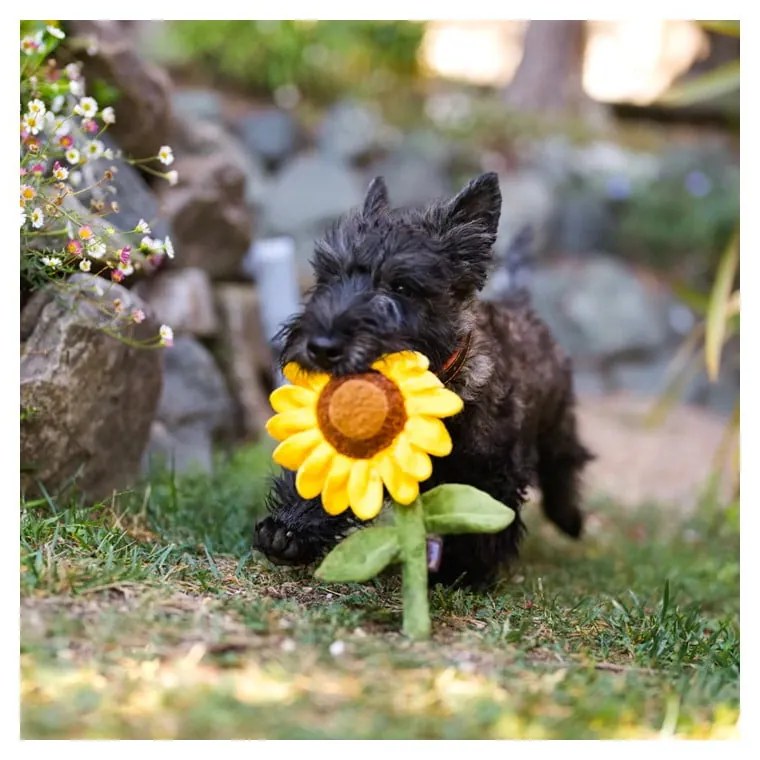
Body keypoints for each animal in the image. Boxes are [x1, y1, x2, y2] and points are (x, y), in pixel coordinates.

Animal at [255, 174, 592, 588]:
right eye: (330, 275)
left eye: (401, 287)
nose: (321, 347)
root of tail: (520, 302)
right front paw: (287, 532)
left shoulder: (491, 473)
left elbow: (479, 521)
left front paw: (460, 571)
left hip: (557, 418)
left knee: (566, 460)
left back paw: (569, 519)